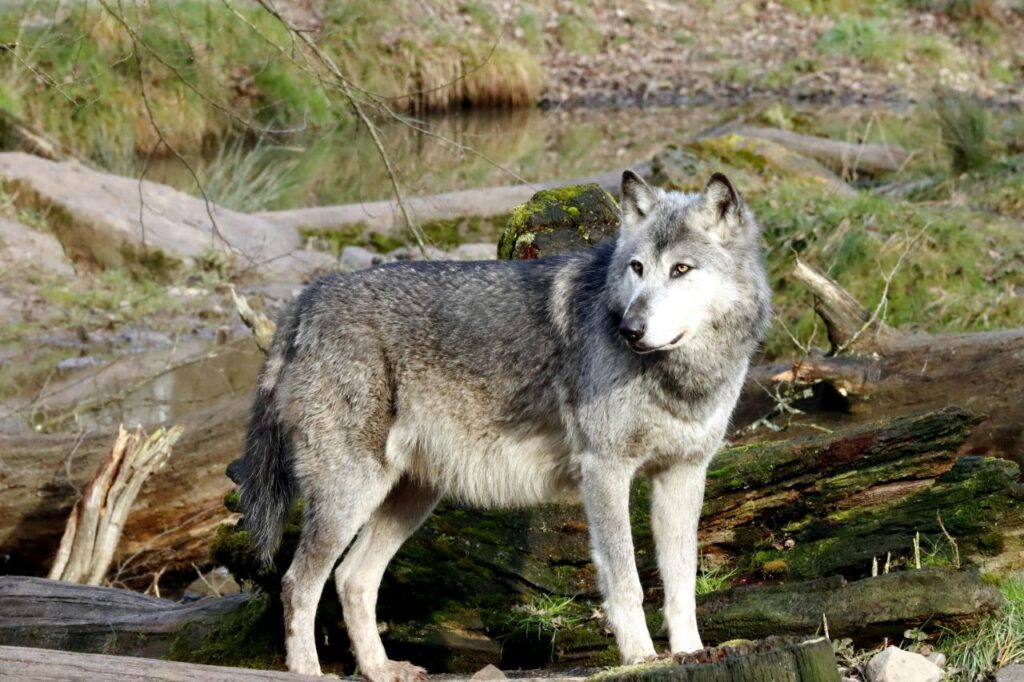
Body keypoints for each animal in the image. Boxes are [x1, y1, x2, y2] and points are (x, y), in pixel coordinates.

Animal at [236, 170, 771, 680]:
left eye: (681, 269)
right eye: (637, 268)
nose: (629, 330)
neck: (682, 377)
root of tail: (305, 301)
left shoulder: (684, 474)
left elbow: (681, 583)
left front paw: (691, 652)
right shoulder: (605, 470)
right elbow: (626, 582)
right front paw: (641, 658)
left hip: (410, 497)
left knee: (352, 579)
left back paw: (381, 669)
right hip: (353, 493)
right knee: (298, 583)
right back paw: (308, 672)